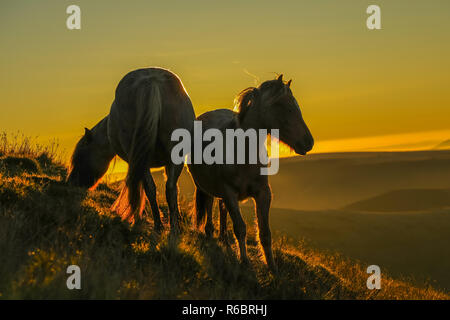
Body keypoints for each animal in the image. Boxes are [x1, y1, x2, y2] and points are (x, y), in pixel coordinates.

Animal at [67, 67, 194, 234]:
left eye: (80, 157)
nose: (71, 182)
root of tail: (151, 81)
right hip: (172, 159)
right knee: (169, 189)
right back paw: (172, 229)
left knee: (150, 188)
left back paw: (157, 225)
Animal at [187, 74, 312, 270]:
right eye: (282, 106)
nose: (309, 141)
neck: (243, 151)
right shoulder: (229, 193)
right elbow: (240, 228)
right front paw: (244, 261)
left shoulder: (263, 193)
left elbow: (265, 232)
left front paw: (272, 267)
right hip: (206, 188)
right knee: (209, 204)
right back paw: (210, 233)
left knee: (221, 208)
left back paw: (223, 237)